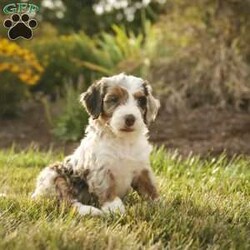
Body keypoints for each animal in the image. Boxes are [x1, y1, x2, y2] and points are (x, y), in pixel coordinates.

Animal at [31, 73, 160, 216]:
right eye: (113, 99)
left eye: (141, 100)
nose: (130, 118)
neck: (122, 140)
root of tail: (35, 195)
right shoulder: (100, 167)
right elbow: (107, 186)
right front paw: (114, 208)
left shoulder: (142, 167)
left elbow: (149, 187)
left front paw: (158, 205)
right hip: (53, 177)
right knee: (67, 202)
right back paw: (91, 210)